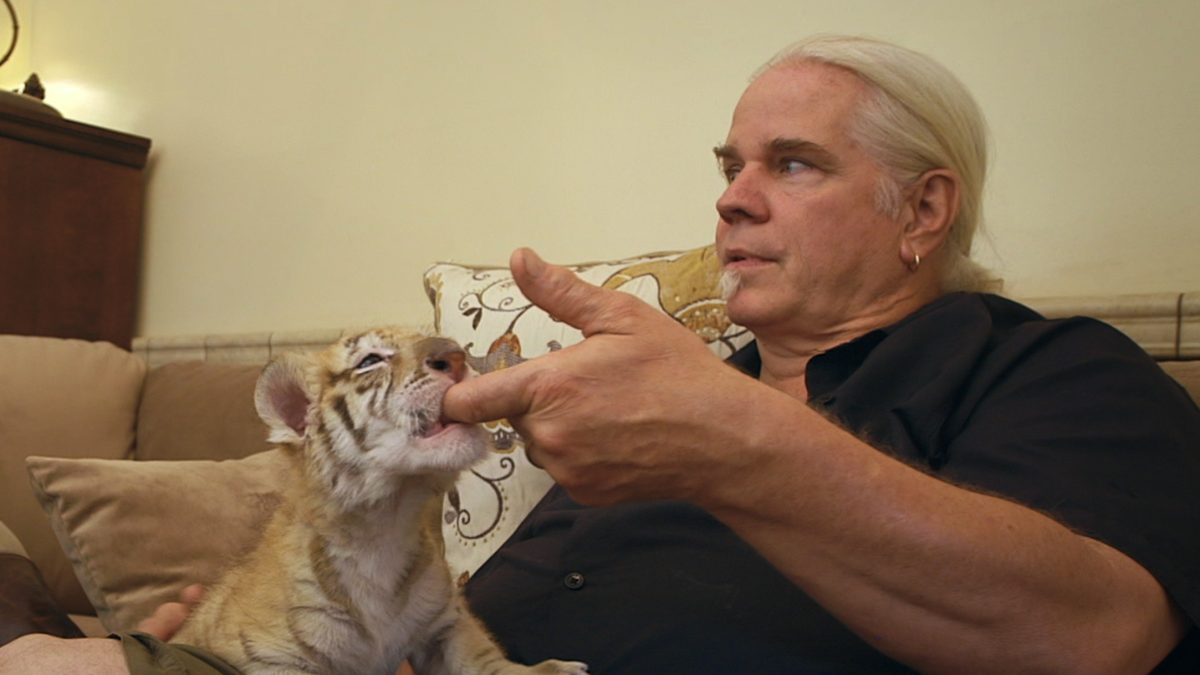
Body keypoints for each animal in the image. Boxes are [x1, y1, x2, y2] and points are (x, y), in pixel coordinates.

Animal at [170, 327, 588, 675]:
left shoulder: (445, 622)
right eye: (370, 360)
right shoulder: (276, 658)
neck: (384, 524)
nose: (456, 356)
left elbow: (481, 656)